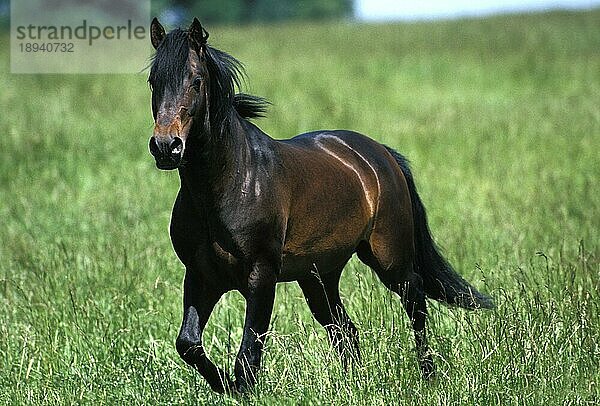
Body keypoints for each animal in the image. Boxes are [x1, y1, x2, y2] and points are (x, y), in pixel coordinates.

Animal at [146, 16, 492, 394]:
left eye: (195, 82)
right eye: (153, 82)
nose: (166, 147)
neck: (229, 185)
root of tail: (382, 154)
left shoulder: (261, 276)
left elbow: (249, 352)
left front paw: (240, 388)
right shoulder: (200, 277)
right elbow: (189, 344)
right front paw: (226, 386)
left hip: (389, 259)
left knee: (415, 303)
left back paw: (428, 376)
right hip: (319, 276)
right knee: (346, 330)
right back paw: (355, 384)